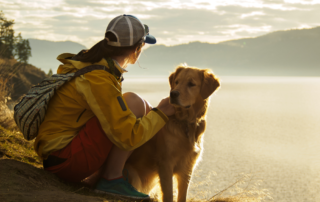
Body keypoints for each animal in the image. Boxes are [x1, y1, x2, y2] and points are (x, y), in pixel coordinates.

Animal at [125, 65, 220, 201]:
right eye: (176, 82)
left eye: (191, 84)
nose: (173, 94)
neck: (185, 123)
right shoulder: (166, 164)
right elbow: (169, 194)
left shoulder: (187, 167)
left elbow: (182, 195)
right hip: (133, 175)